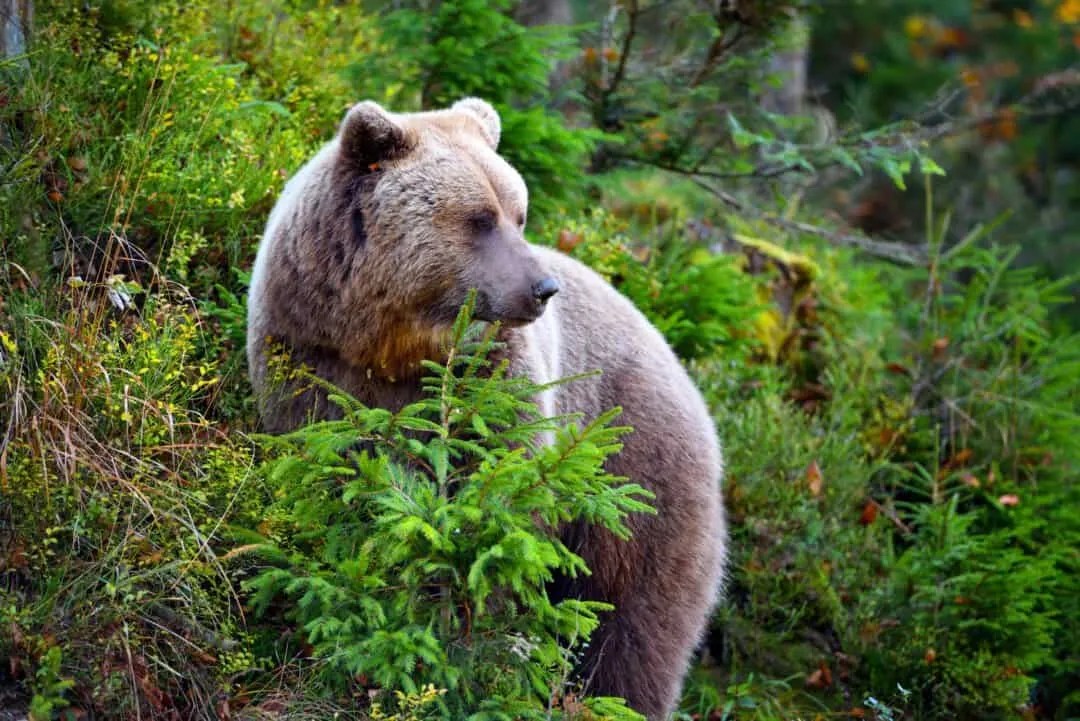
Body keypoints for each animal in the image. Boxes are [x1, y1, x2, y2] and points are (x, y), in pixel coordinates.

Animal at [246, 97, 727, 720]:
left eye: (518, 212)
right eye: (479, 218)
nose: (543, 287)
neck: (390, 344)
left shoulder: (495, 378)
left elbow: (501, 500)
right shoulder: (309, 355)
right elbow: (334, 473)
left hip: (639, 473)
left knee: (635, 619)